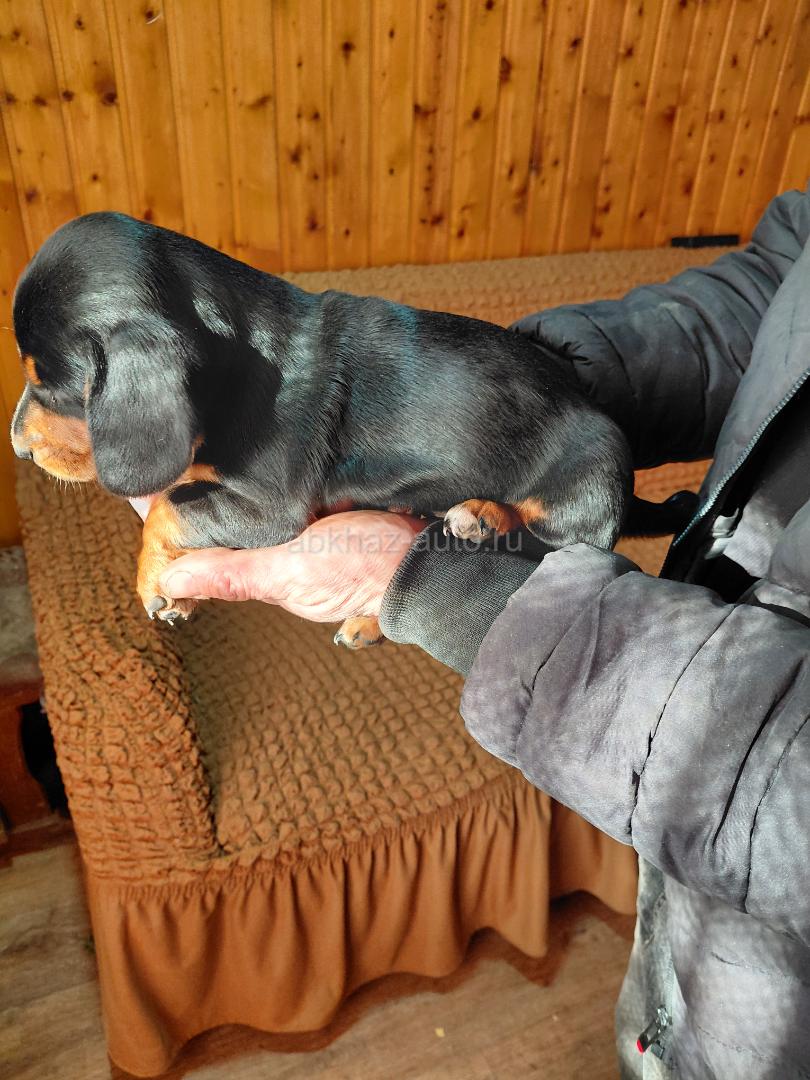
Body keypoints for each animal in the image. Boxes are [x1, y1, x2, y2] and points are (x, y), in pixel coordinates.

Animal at [10, 212, 694, 647]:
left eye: (52, 382)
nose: (17, 448)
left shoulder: (270, 510)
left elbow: (167, 509)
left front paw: (156, 585)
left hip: (582, 489)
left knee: (544, 539)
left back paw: (484, 516)